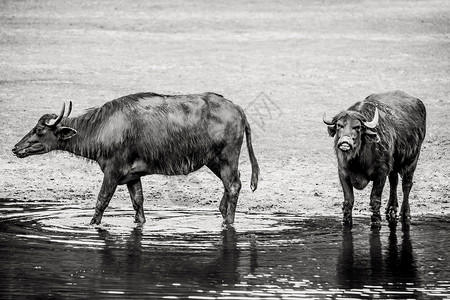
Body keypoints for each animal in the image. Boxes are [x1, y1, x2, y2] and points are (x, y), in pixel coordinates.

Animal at [12, 92, 260, 225]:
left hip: (227, 157)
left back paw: (228, 221)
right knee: (232, 184)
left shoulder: (112, 171)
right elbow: (138, 203)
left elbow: (101, 201)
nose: (16, 148)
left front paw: (92, 224)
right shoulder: (133, 176)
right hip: (213, 160)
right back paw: (222, 211)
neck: (102, 127)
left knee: (234, 185)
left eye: (39, 130)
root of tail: (238, 110)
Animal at [324, 91, 426, 227]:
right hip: (394, 165)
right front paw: (346, 221)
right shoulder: (343, 173)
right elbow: (348, 201)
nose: (345, 142)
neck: (358, 161)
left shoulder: (380, 174)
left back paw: (405, 213)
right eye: (339, 125)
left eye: (357, 127)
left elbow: (375, 200)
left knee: (406, 185)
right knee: (394, 181)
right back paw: (391, 208)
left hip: (412, 160)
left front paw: (376, 221)